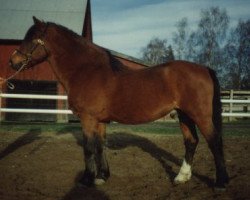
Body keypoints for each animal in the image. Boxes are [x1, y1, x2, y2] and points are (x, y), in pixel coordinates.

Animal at [9, 17, 229, 189]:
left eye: (31, 39)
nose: (12, 62)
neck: (87, 70)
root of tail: (204, 68)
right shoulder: (99, 121)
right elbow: (100, 146)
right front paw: (102, 177)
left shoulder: (88, 119)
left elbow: (88, 148)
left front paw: (86, 179)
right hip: (184, 115)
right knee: (191, 141)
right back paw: (181, 177)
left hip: (200, 115)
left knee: (214, 141)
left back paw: (221, 182)